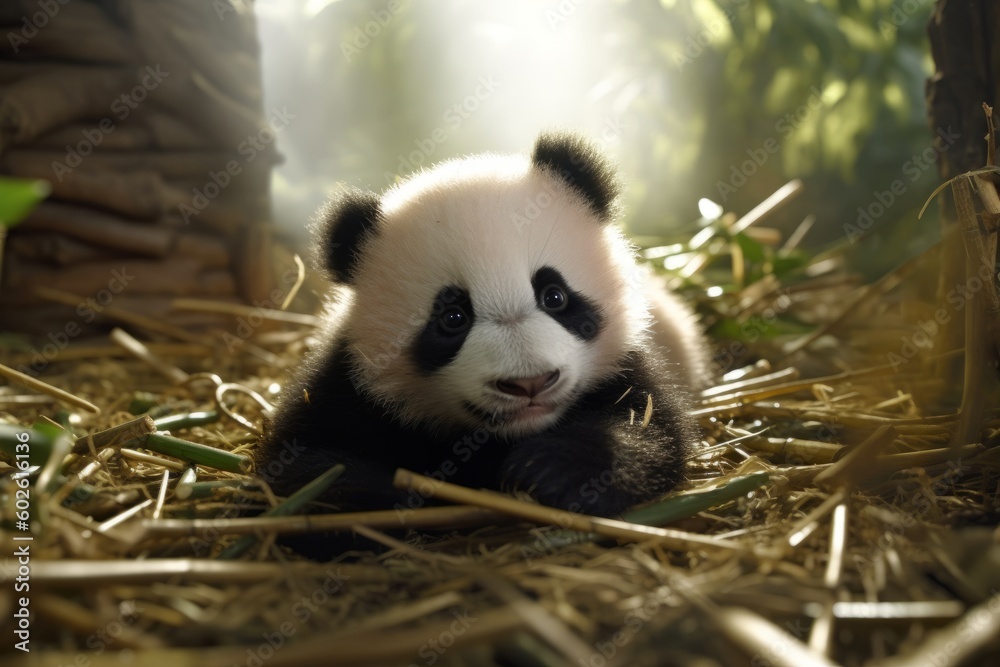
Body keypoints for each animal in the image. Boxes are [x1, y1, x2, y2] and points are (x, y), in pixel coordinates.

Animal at [256, 132, 710, 537]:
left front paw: (548, 471)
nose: (530, 384)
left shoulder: (627, 365)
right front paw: (404, 496)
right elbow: (300, 473)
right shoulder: (347, 383)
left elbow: (650, 429)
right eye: (453, 317)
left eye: (554, 296)